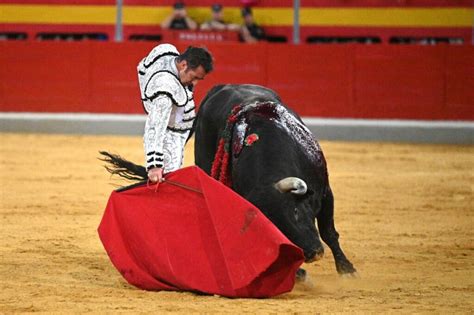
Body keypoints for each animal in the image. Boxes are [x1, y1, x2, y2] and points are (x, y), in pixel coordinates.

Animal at [194, 84, 358, 276]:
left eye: (295, 211)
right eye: (274, 227)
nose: (312, 253)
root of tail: (223, 86)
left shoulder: (325, 191)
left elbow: (328, 232)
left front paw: (347, 269)